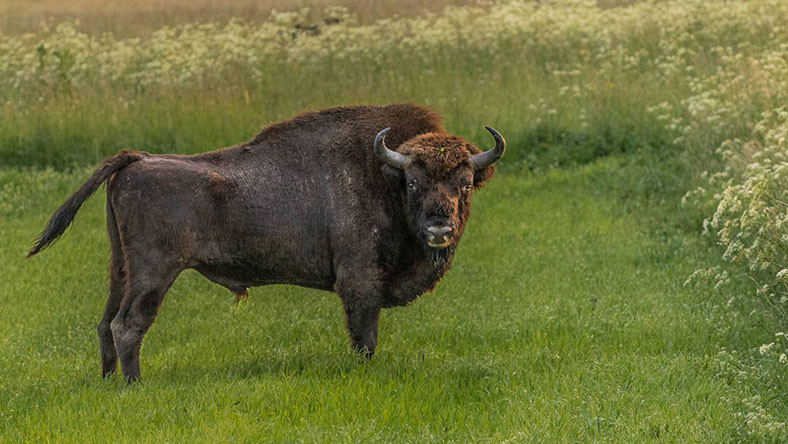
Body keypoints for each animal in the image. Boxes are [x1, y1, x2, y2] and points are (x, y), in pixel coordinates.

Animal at [29, 104, 504, 382]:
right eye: (413, 182)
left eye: (464, 184)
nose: (439, 228)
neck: (381, 174)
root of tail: (137, 160)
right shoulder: (360, 283)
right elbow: (364, 338)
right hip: (153, 272)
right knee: (128, 324)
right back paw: (135, 385)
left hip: (120, 269)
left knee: (105, 323)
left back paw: (110, 382)